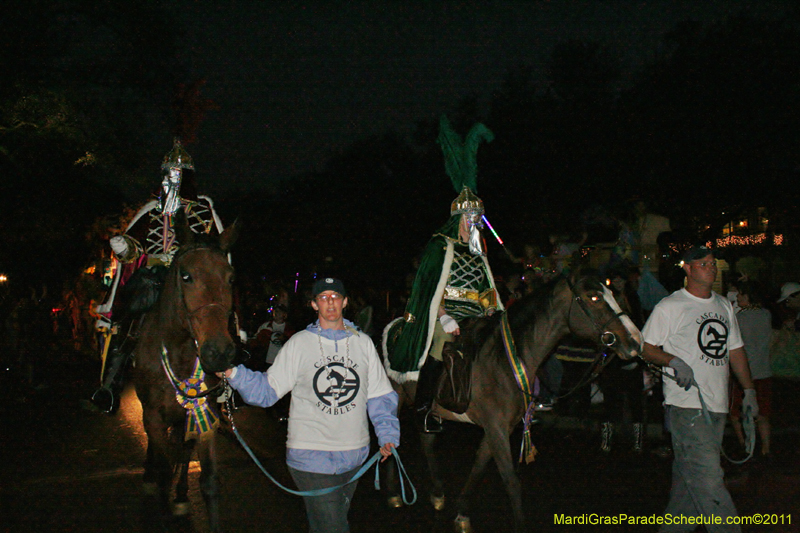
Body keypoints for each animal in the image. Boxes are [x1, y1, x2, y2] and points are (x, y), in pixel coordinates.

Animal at [133, 210, 239, 528]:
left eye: (231, 278)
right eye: (186, 276)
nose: (219, 352)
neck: (178, 352)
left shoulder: (205, 414)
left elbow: (209, 481)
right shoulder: (153, 416)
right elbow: (163, 469)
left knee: (182, 450)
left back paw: (180, 496)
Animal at [382, 272, 644, 532]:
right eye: (594, 297)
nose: (636, 341)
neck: (504, 359)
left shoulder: (500, 428)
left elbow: (479, 466)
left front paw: (462, 513)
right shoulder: (496, 427)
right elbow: (511, 481)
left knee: (426, 440)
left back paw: (437, 493)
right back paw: (394, 494)